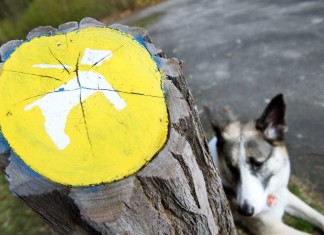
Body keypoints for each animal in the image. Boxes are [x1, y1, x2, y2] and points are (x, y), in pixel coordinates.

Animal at [208, 94, 324, 235]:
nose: (245, 211)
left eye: (258, 164)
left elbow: (315, 214)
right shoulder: (271, 228)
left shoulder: (285, 194)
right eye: (231, 167)